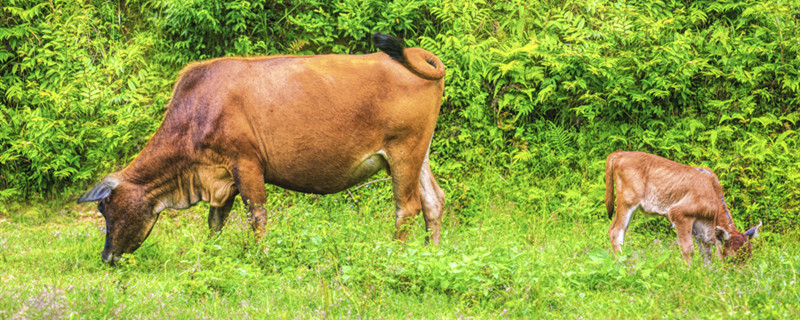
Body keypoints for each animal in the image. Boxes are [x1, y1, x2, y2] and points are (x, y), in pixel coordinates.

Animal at [78, 33, 446, 266]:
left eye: (104, 209)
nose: (106, 257)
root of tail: (416, 53)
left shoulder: (245, 162)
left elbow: (256, 215)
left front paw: (262, 257)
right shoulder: (221, 177)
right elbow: (215, 222)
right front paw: (210, 257)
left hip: (403, 150)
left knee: (407, 206)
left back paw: (395, 257)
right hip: (418, 153)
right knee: (433, 199)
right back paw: (432, 254)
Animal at [608, 150, 764, 264]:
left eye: (749, 256)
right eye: (731, 258)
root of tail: (621, 153)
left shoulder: (701, 225)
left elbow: (706, 251)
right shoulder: (680, 214)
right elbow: (688, 249)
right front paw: (690, 272)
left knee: (622, 231)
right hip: (627, 201)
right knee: (615, 231)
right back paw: (622, 263)